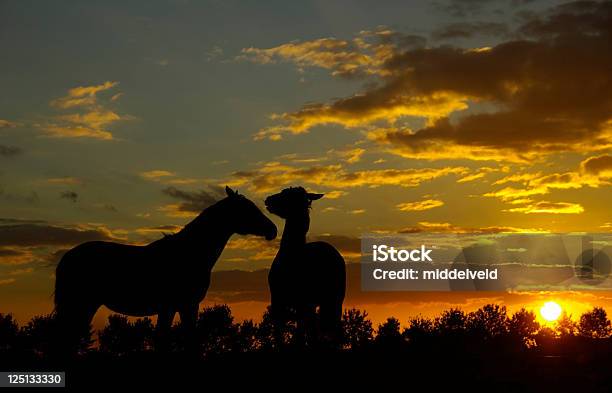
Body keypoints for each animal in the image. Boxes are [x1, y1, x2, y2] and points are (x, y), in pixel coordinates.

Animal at [53, 185, 276, 354]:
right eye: (248, 209)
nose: (273, 230)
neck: (189, 253)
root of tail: (67, 257)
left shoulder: (176, 307)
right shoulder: (181, 305)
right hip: (80, 303)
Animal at [266, 185, 346, 344]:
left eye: (286, 194)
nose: (268, 199)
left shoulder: (301, 303)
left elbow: (299, 335)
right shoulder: (278, 301)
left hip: (335, 300)